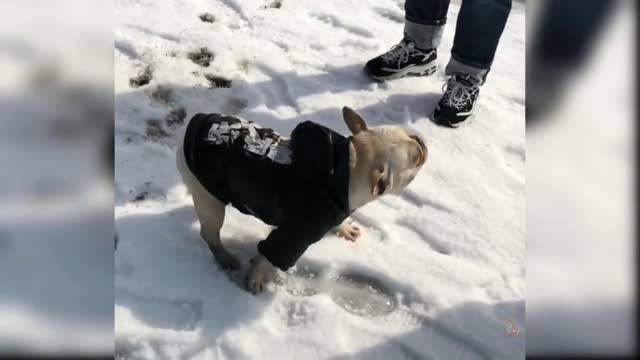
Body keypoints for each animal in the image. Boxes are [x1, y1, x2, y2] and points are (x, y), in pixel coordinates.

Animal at [176, 107, 424, 292]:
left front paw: (343, 228)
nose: (422, 141)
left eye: (410, 135)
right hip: (210, 198)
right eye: (415, 158)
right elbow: (267, 256)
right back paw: (224, 257)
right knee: (210, 233)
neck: (346, 167)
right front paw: (256, 277)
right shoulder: (294, 236)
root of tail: (195, 124)